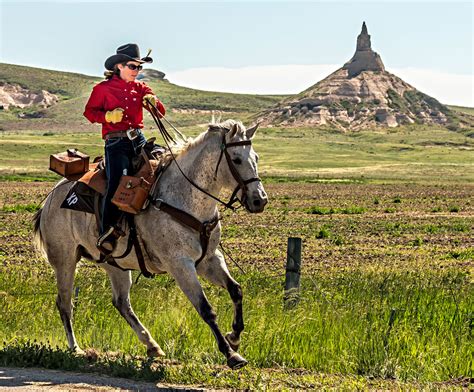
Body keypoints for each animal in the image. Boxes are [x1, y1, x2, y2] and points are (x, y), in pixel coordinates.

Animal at [33, 118, 268, 368]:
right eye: (236, 159)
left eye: (256, 158)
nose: (260, 200)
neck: (186, 197)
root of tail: (49, 199)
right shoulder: (180, 264)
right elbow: (206, 309)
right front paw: (231, 354)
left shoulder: (209, 259)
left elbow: (236, 290)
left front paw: (234, 337)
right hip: (64, 261)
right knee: (65, 303)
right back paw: (75, 348)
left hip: (113, 263)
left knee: (121, 303)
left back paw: (152, 346)